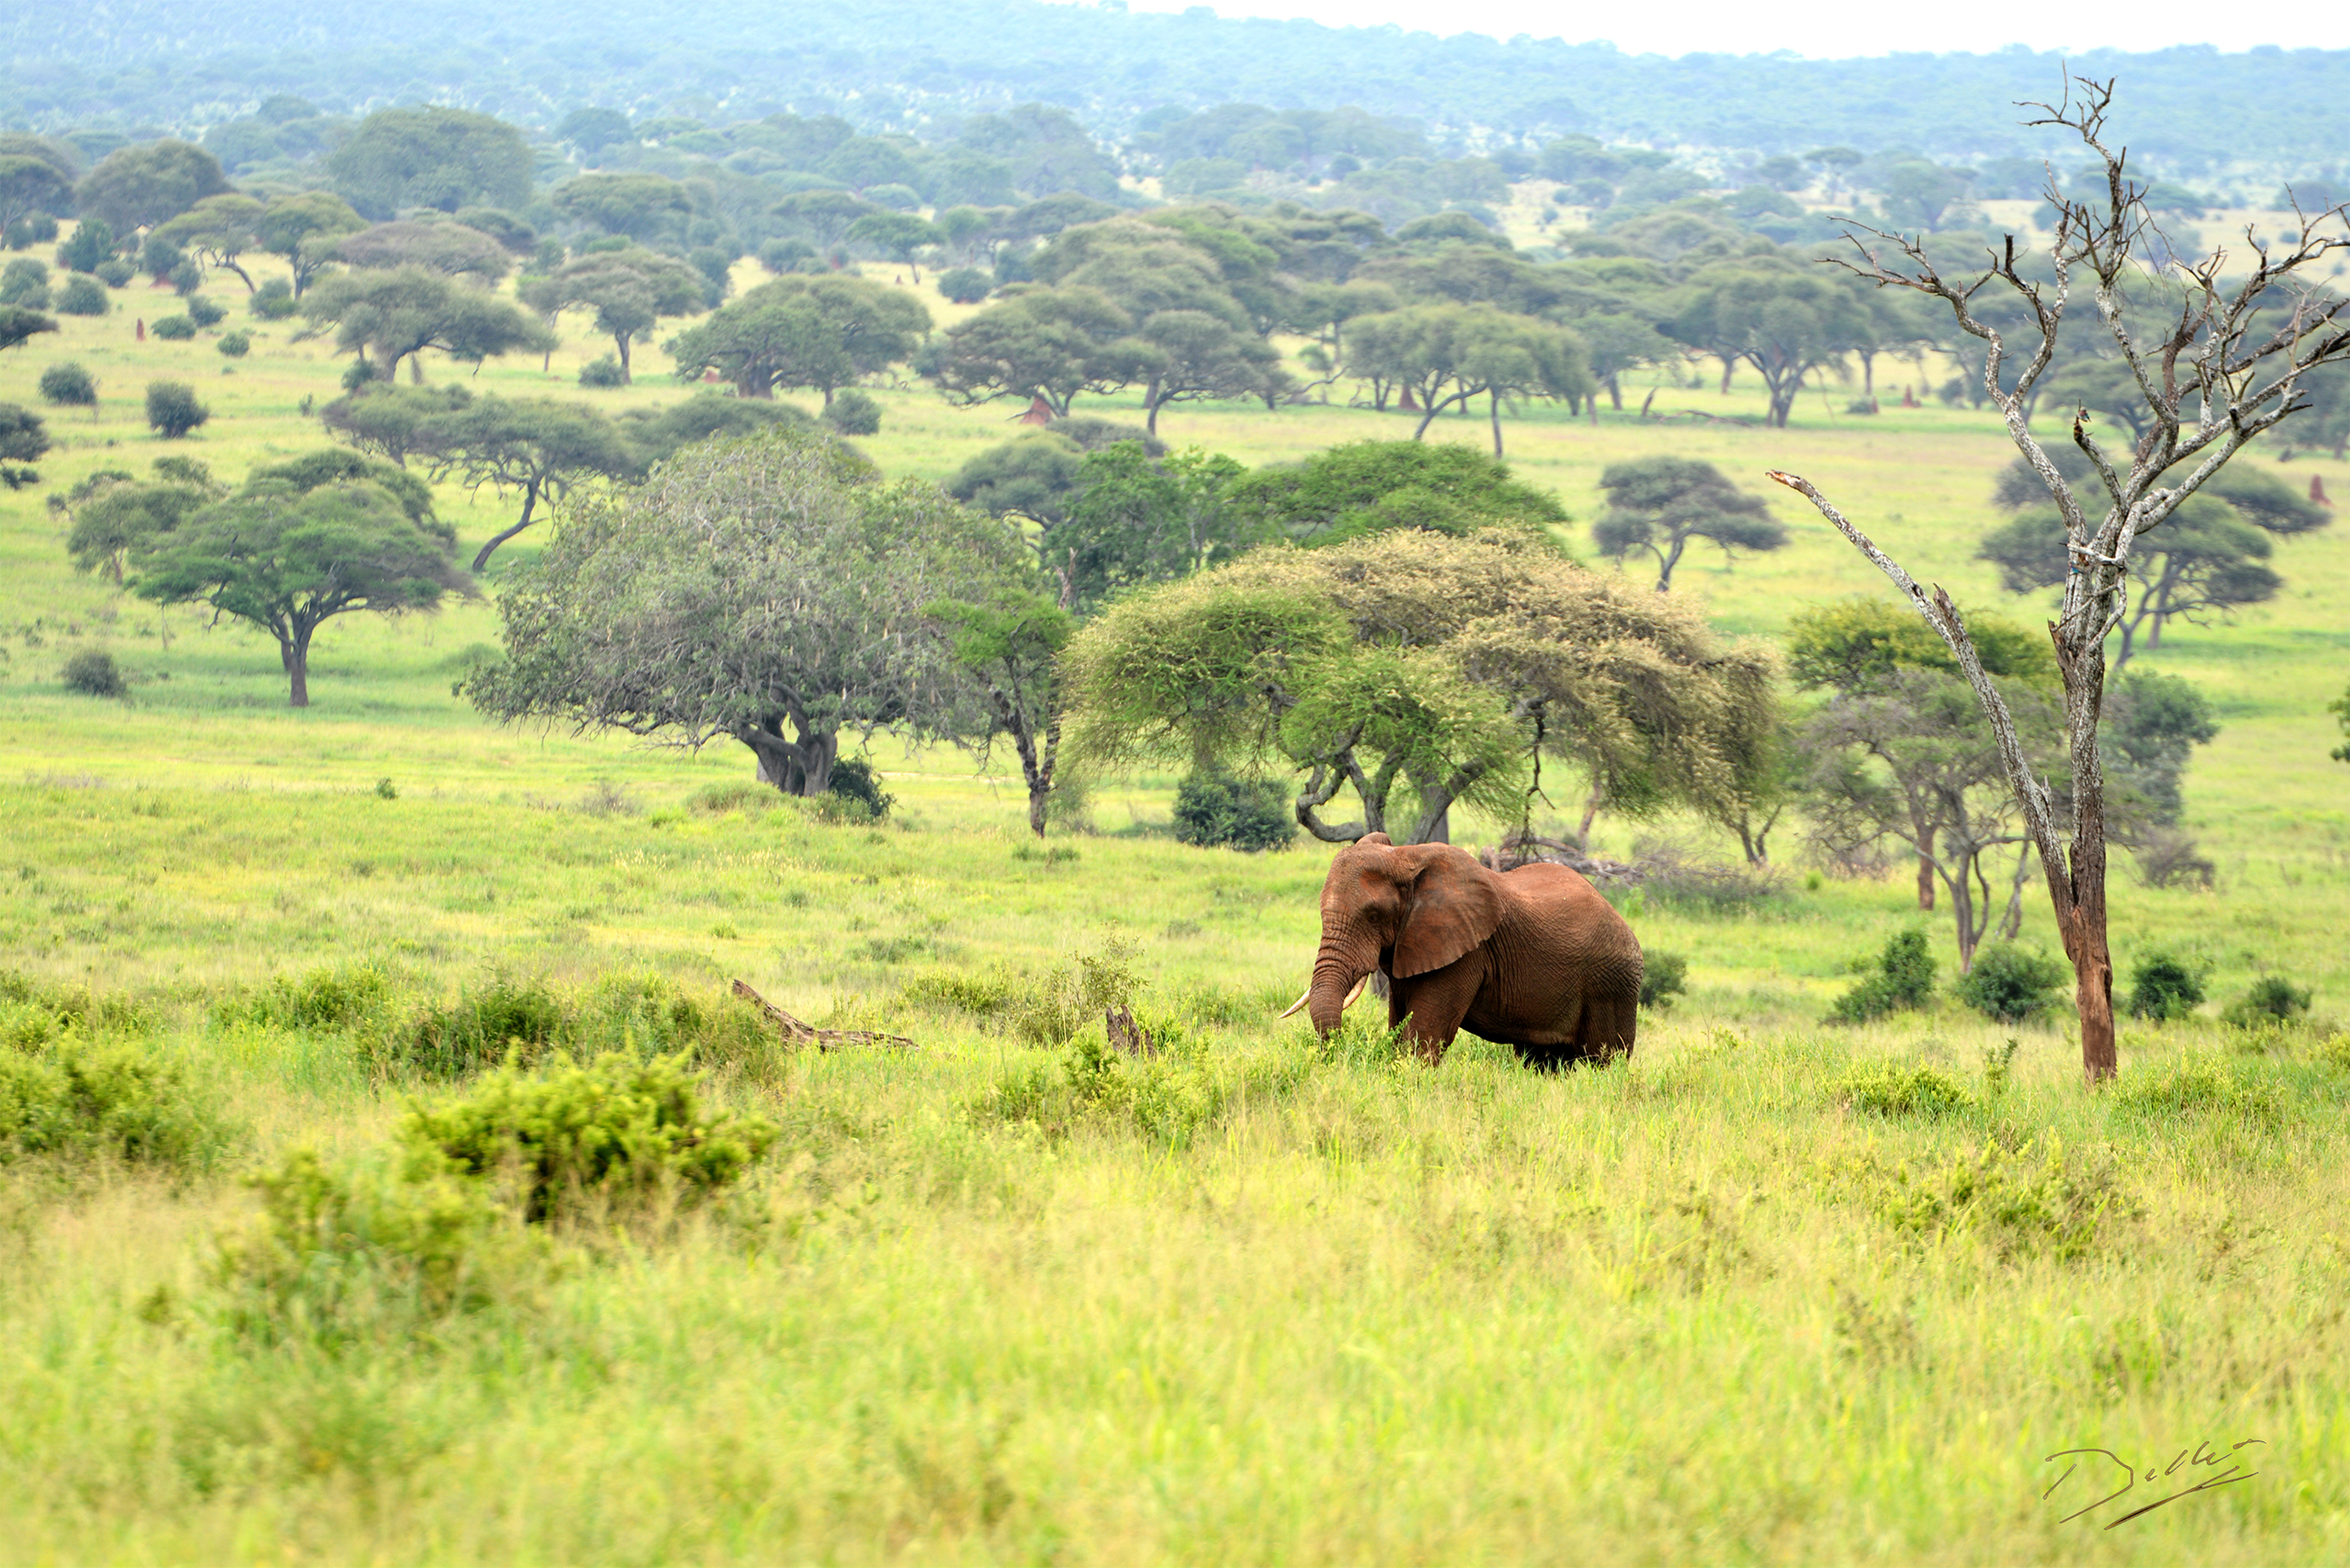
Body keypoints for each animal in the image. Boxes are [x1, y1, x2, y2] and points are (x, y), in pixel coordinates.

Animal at [1278, 831, 1644, 1066]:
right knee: (1542, 1061)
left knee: (1604, 1060)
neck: (1406, 856)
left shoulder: (1466, 953)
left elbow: (1425, 1034)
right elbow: (1399, 1023)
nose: (1340, 1051)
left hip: (1613, 983)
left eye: (1373, 915)